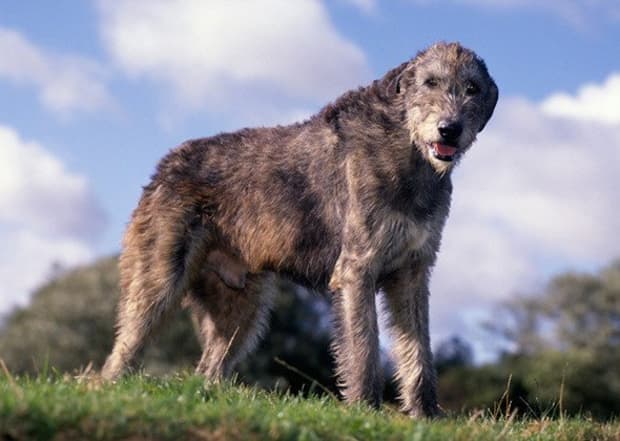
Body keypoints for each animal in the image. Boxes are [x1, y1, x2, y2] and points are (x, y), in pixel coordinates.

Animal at [103, 41, 498, 416]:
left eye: (472, 88)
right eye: (430, 82)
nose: (450, 129)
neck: (407, 150)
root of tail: (164, 165)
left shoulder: (412, 272)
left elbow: (418, 349)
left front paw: (426, 414)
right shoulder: (357, 269)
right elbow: (363, 345)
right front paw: (364, 408)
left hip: (241, 306)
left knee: (209, 367)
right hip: (158, 280)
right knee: (122, 350)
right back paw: (110, 387)